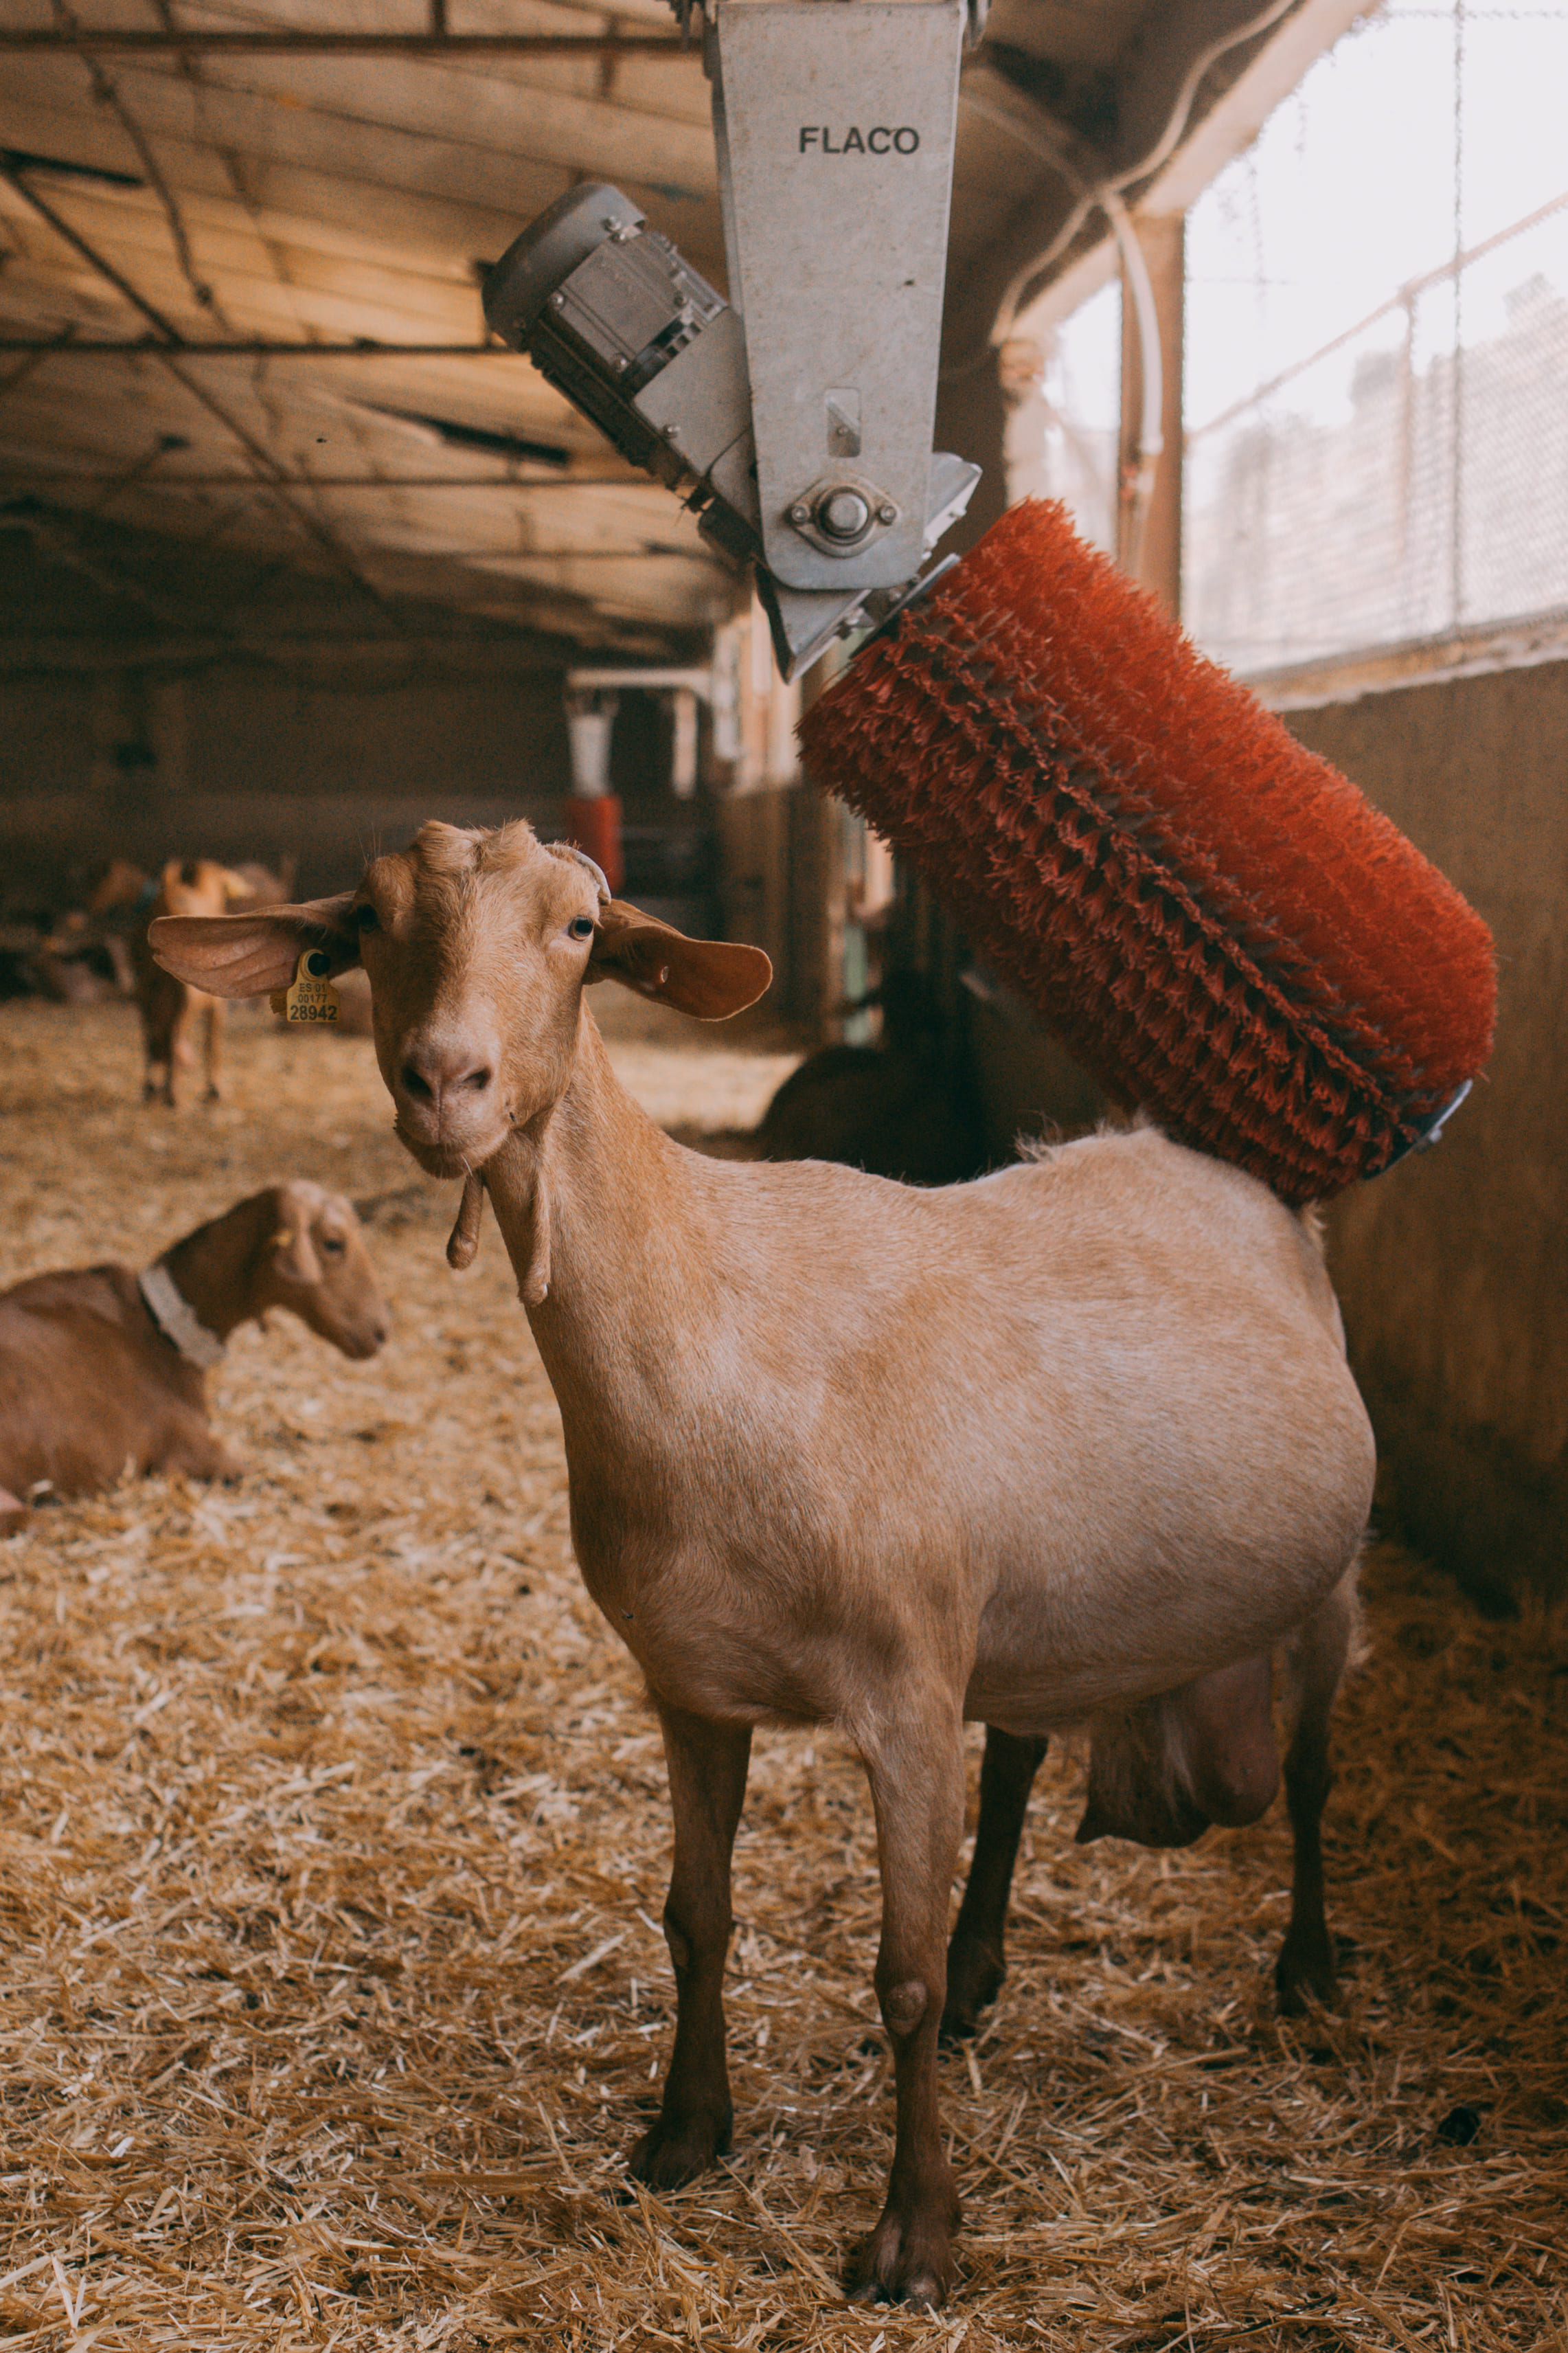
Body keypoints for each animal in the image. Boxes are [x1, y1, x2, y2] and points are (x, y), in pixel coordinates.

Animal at [151, 820, 1376, 2309]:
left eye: (579, 929)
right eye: (367, 925)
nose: (444, 1080)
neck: (715, 1321)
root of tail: (1196, 1155)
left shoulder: (904, 1688)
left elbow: (894, 1974)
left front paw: (914, 2237)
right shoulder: (691, 1682)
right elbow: (696, 1915)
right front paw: (682, 2133)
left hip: (1324, 1579)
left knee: (1307, 1772)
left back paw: (1303, 1968)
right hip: (1030, 1607)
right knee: (1020, 1760)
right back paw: (990, 1968)